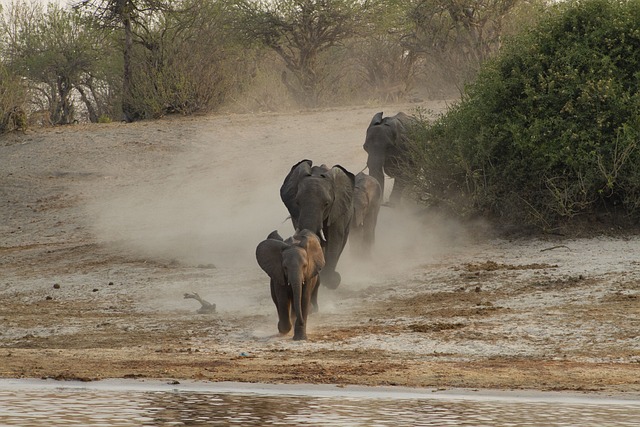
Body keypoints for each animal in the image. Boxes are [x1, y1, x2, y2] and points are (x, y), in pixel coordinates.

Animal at [280, 160, 356, 290]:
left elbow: (334, 240)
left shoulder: (336, 211)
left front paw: (331, 281)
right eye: (297, 202)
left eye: (326, 204)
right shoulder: (296, 214)